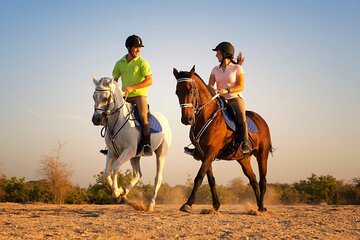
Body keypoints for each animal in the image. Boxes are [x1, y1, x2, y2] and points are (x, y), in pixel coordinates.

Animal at [92, 77, 172, 212]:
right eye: (93, 96)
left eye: (105, 98)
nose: (95, 119)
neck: (118, 121)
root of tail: (164, 119)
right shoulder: (112, 152)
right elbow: (106, 173)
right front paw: (119, 193)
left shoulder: (128, 151)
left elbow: (115, 167)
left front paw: (116, 193)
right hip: (135, 157)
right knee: (138, 174)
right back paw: (125, 192)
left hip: (160, 153)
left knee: (158, 178)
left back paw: (150, 205)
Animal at [174, 65, 272, 212]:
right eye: (177, 92)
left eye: (191, 90)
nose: (187, 119)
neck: (206, 116)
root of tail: (261, 120)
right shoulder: (203, 154)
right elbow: (211, 180)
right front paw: (216, 205)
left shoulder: (211, 151)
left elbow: (199, 177)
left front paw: (188, 203)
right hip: (243, 159)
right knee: (253, 180)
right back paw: (258, 205)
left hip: (262, 155)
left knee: (262, 180)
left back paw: (261, 207)